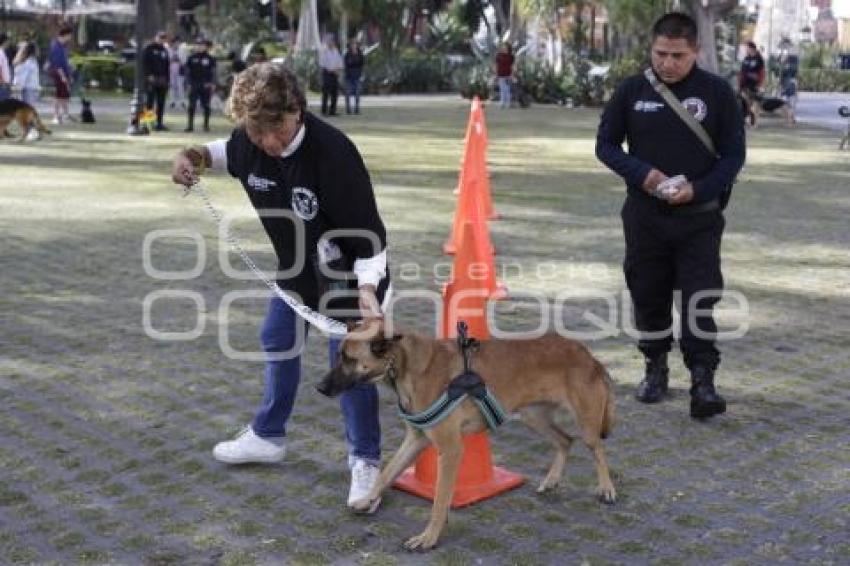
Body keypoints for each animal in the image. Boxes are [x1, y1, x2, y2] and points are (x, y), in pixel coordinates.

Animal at [314, 322, 612, 552]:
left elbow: (439, 501)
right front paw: (367, 499)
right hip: (533, 417)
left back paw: (607, 488)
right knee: (565, 440)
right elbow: (387, 473)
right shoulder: (415, 440)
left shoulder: (451, 450)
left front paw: (429, 538)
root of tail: (587, 354)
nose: (319, 387)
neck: (407, 365)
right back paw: (551, 481)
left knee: (597, 449)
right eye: (340, 355)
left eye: (348, 359)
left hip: (586, 424)